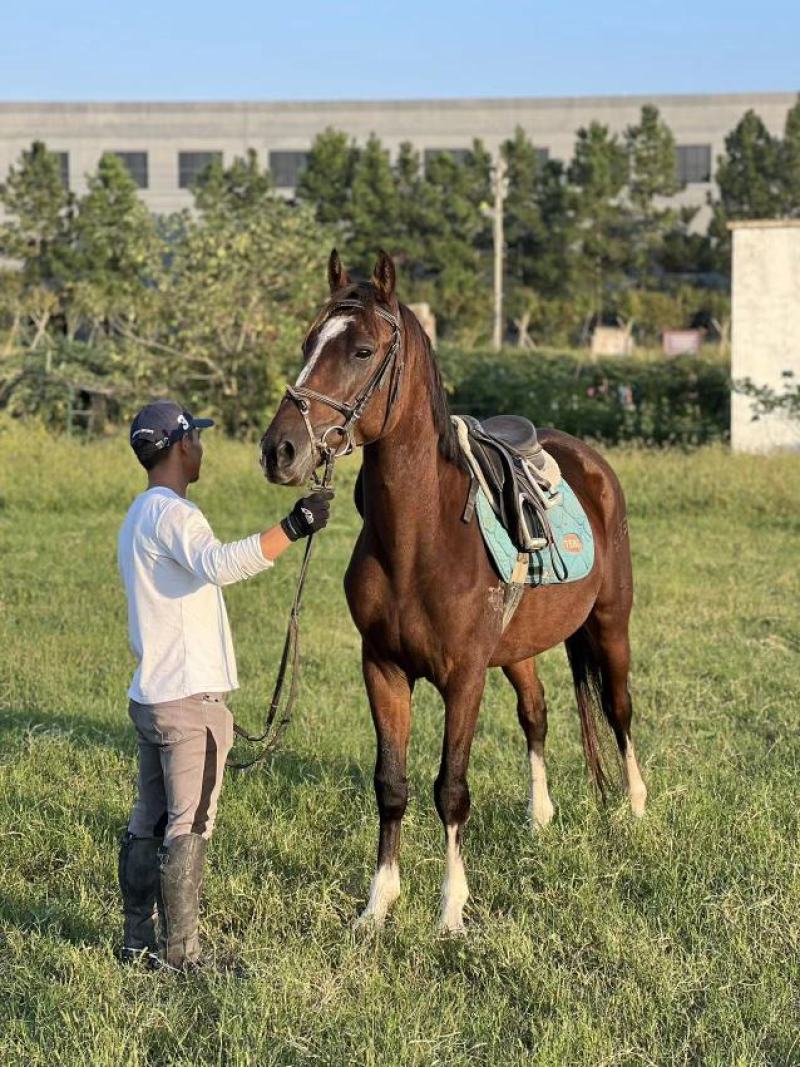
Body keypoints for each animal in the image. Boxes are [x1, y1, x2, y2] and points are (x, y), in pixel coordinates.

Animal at [260, 249, 647, 933]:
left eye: (362, 350)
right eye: (308, 343)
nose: (280, 449)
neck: (423, 538)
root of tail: (589, 460)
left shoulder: (464, 677)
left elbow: (451, 789)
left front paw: (450, 912)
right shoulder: (383, 669)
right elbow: (391, 784)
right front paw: (378, 905)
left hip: (610, 622)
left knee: (620, 710)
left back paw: (635, 808)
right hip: (519, 649)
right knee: (536, 712)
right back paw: (540, 817)